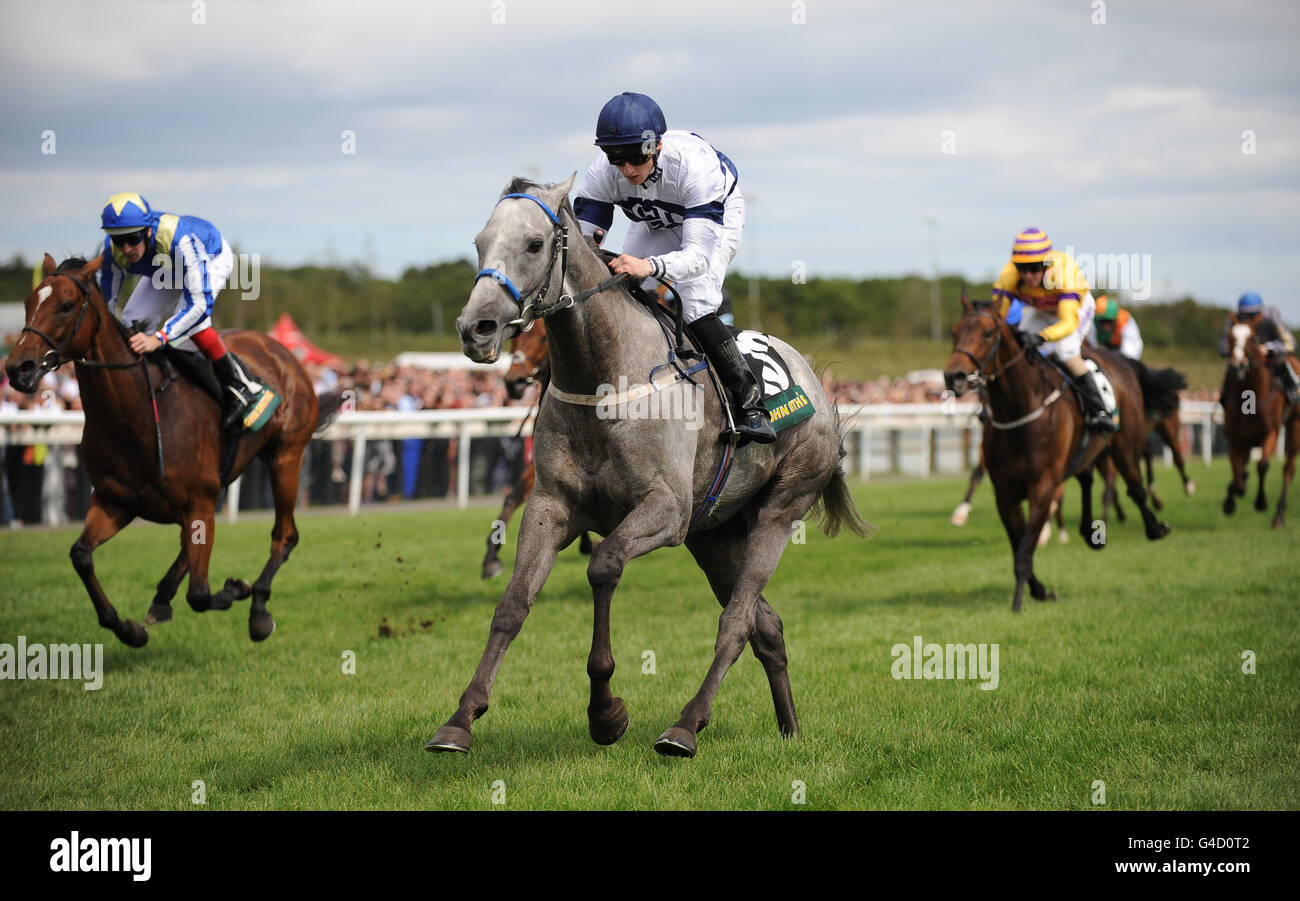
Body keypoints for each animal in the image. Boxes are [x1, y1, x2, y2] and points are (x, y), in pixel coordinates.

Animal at [3, 254, 340, 647]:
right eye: (29, 303)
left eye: (67, 305)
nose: (17, 367)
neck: (137, 418)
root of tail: (282, 352)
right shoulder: (114, 500)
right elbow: (81, 555)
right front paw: (130, 629)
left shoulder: (198, 502)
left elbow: (201, 594)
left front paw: (236, 589)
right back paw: (163, 597)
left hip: (286, 455)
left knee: (284, 535)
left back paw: (257, 609)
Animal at [428, 175, 873, 759]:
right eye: (480, 243)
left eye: (534, 244)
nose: (475, 328)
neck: (604, 377)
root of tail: (816, 385)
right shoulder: (552, 504)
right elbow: (513, 604)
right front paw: (461, 718)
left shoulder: (665, 509)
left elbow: (603, 566)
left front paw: (605, 713)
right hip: (714, 533)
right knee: (766, 624)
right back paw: (789, 727)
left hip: (779, 507)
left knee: (737, 621)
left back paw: (686, 726)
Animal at [941, 295, 1175, 611]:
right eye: (955, 331)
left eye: (988, 334)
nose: (954, 376)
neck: (1020, 410)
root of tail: (1120, 362)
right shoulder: (1005, 492)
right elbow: (1018, 542)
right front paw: (1039, 590)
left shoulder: (1043, 485)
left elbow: (1025, 546)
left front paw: (1018, 603)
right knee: (1087, 478)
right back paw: (1090, 532)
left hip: (1125, 443)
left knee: (1134, 486)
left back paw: (1154, 527)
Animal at [1222, 315, 1294, 527]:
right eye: (1230, 336)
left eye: (1253, 338)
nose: (1238, 365)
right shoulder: (1235, 438)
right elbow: (1238, 477)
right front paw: (1230, 500)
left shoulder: (1272, 432)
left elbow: (1262, 465)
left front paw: (1261, 502)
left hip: (1295, 429)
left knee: (1288, 470)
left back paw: (1279, 515)